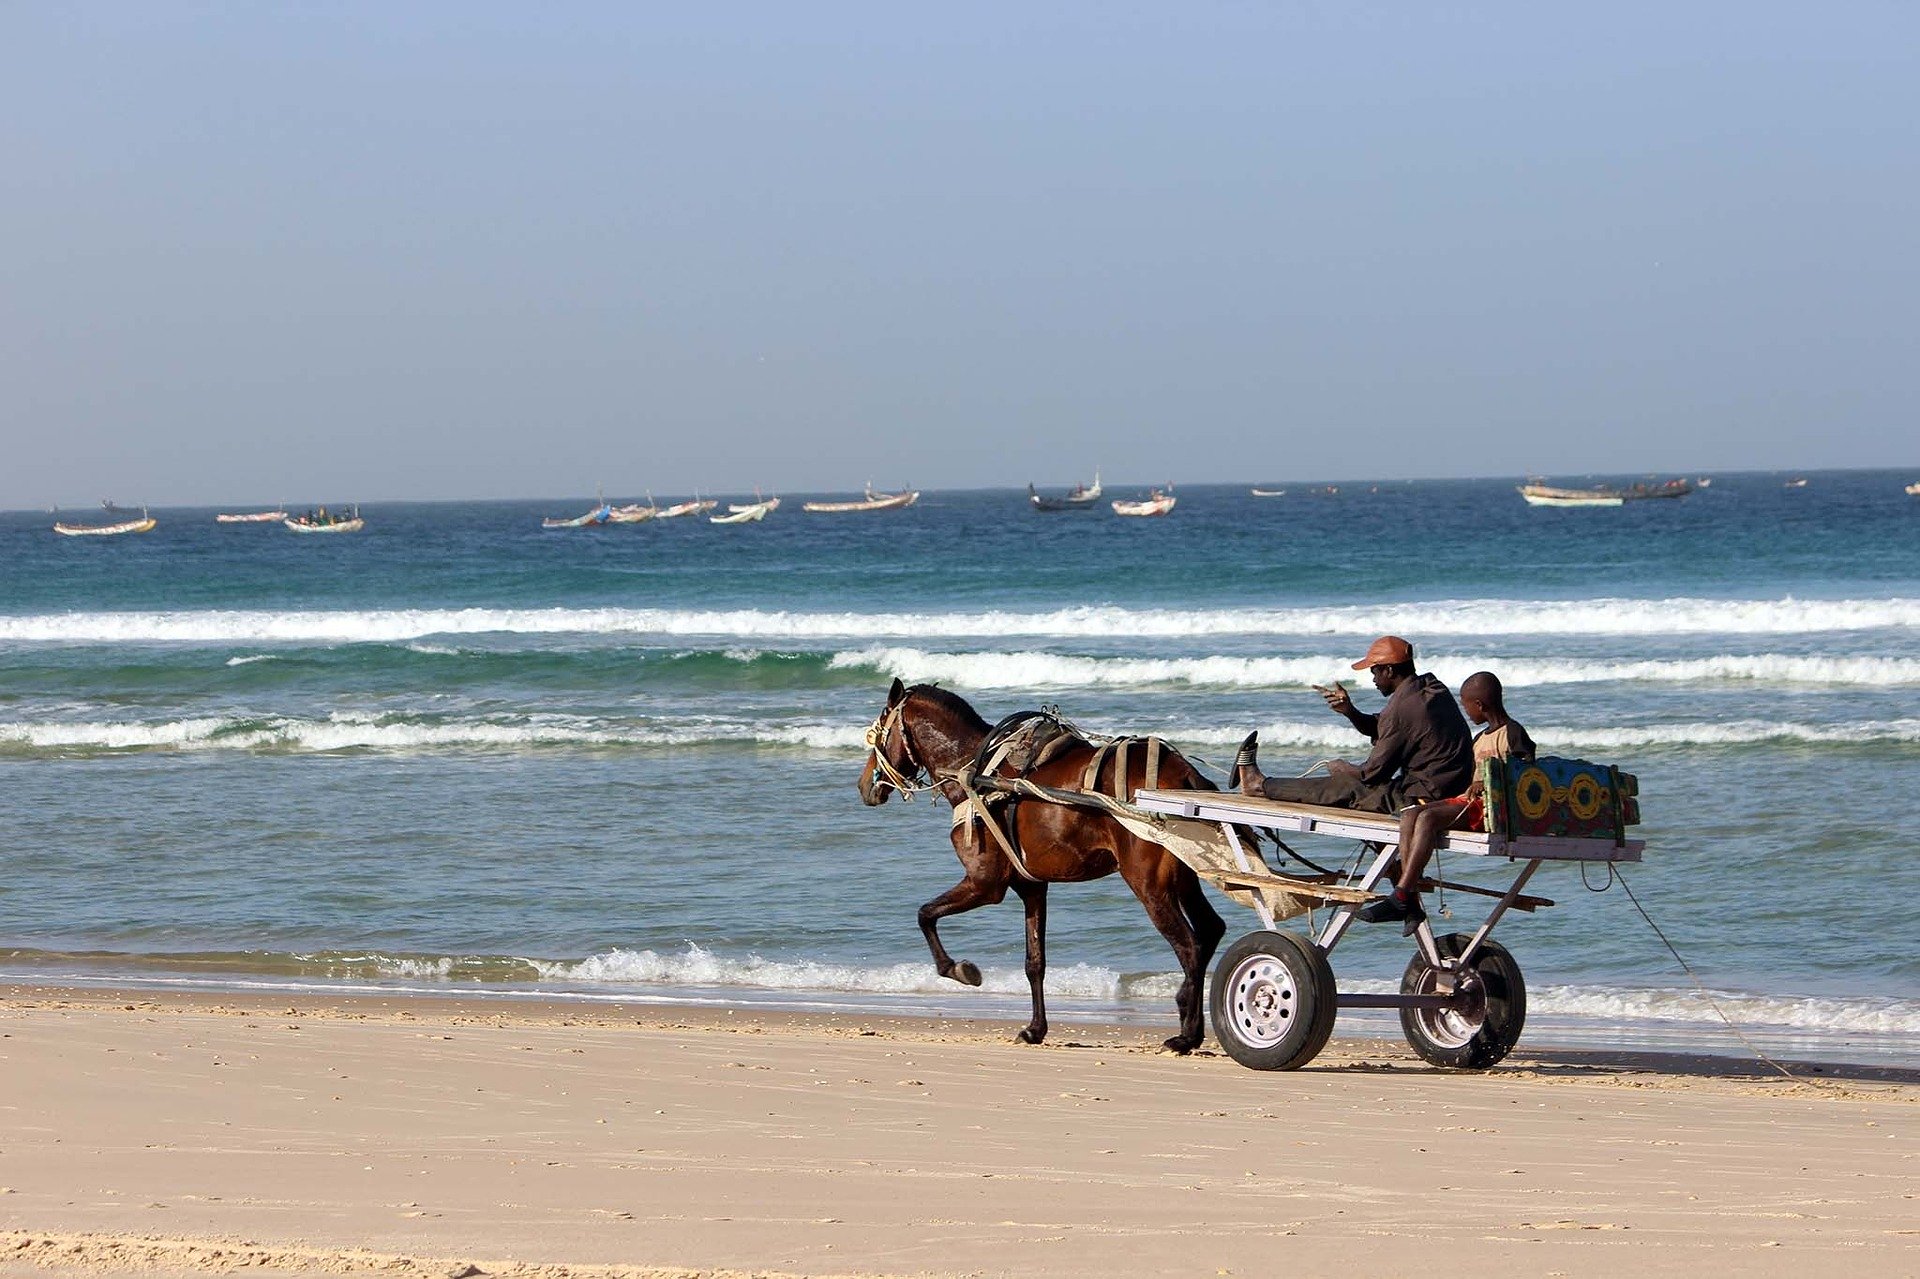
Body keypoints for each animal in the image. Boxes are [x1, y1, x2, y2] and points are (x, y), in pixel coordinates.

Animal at [860, 672, 1221, 1052]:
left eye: (877, 733)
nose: (864, 784)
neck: (975, 769)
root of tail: (1184, 776)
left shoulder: (984, 884)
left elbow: (925, 915)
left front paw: (959, 970)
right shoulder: (1031, 887)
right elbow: (1035, 962)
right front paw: (1035, 1028)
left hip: (1150, 885)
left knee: (1190, 947)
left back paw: (1186, 1033)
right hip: (1183, 877)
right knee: (1210, 931)